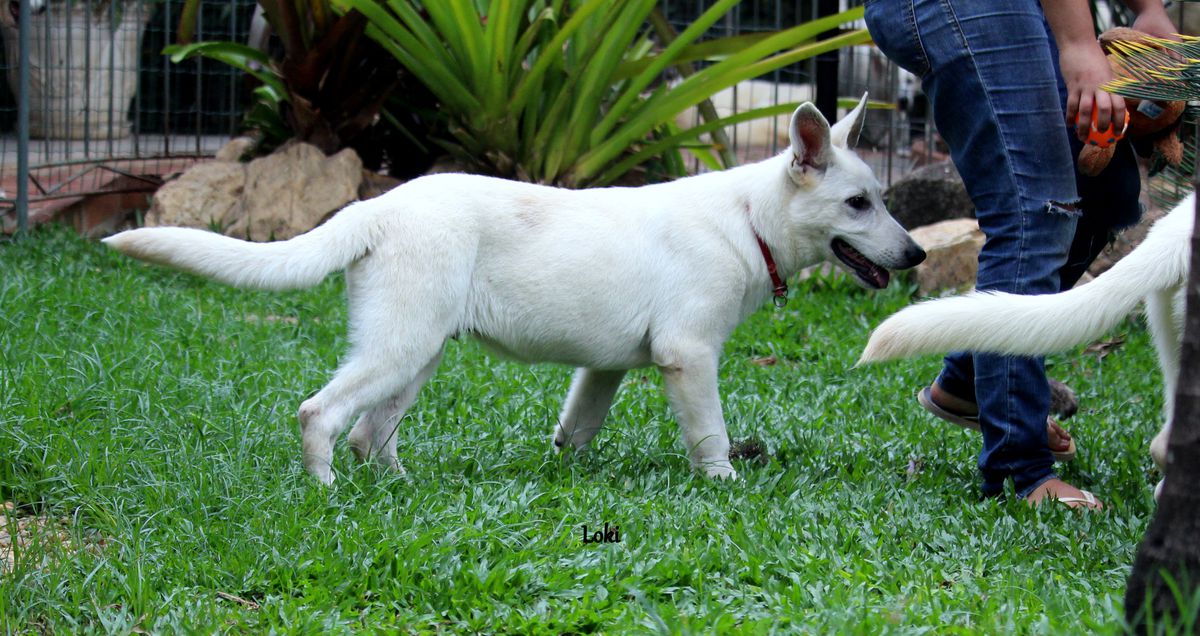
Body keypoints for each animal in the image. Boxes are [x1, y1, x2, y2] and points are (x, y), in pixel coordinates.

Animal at [105, 95, 926, 480]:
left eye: (879, 199)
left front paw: (564, 476)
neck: (748, 219)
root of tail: (377, 206)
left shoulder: (604, 369)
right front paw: (723, 484)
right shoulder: (688, 357)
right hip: (401, 347)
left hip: (416, 352)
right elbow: (712, 435)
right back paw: (326, 488)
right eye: (859, 203)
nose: (917, 255)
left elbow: (576, 430)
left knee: (372, 434)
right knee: (322, 414)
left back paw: (400, 489)